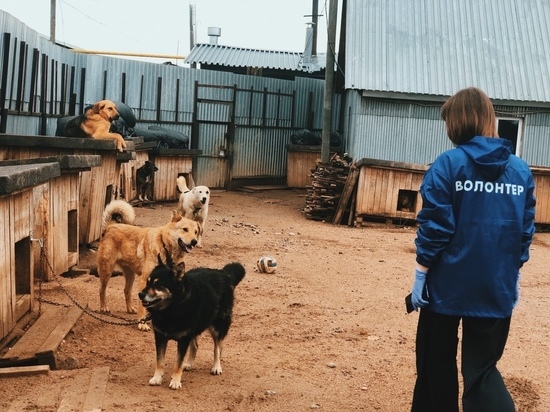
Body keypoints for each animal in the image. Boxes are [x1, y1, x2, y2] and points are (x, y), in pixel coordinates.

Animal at [139, 258, 247, 390]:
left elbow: (178, 363)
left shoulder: (183, 339)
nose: (140, 294)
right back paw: (189, 363)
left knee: (218, 348)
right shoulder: (160, 336)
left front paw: (175, 381)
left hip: (218, 326)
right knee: (195, 345)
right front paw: (157, 378)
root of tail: (224, 273)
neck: (171, 309)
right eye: (147, 282)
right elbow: (160, 361)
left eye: (158, 284)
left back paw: (216, 366)